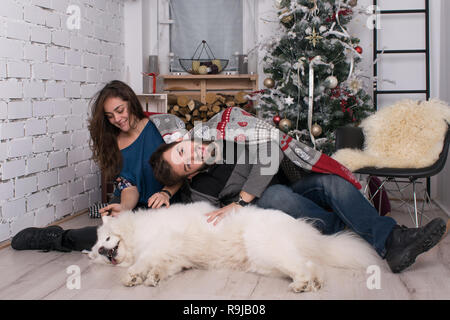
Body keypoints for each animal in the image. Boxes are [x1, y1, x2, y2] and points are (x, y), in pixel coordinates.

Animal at [89, 202, 382, 292]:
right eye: (99, 250)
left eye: (106, 240)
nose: (101, 252)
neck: (136, 232)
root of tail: (301, 226)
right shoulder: (175, 257)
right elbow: (161, 268)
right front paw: (151, 278)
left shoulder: (160, 244)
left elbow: (145, 260)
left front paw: (133, 275)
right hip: (266, 263)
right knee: (312, 266)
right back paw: (311, 284)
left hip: (267, 250)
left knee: (305, 266)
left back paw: (301, 285)